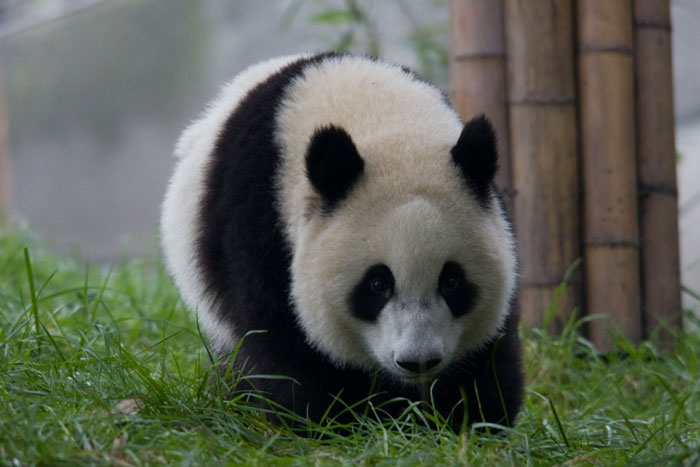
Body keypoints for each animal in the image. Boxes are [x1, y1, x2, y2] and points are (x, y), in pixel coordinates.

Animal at [161, 52, 523, 430]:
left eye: (452, 280)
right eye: (377, 283)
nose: (418, 361)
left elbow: (489, 350)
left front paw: (469, 419)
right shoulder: (259, 223)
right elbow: (284, 344)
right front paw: (332, 421)